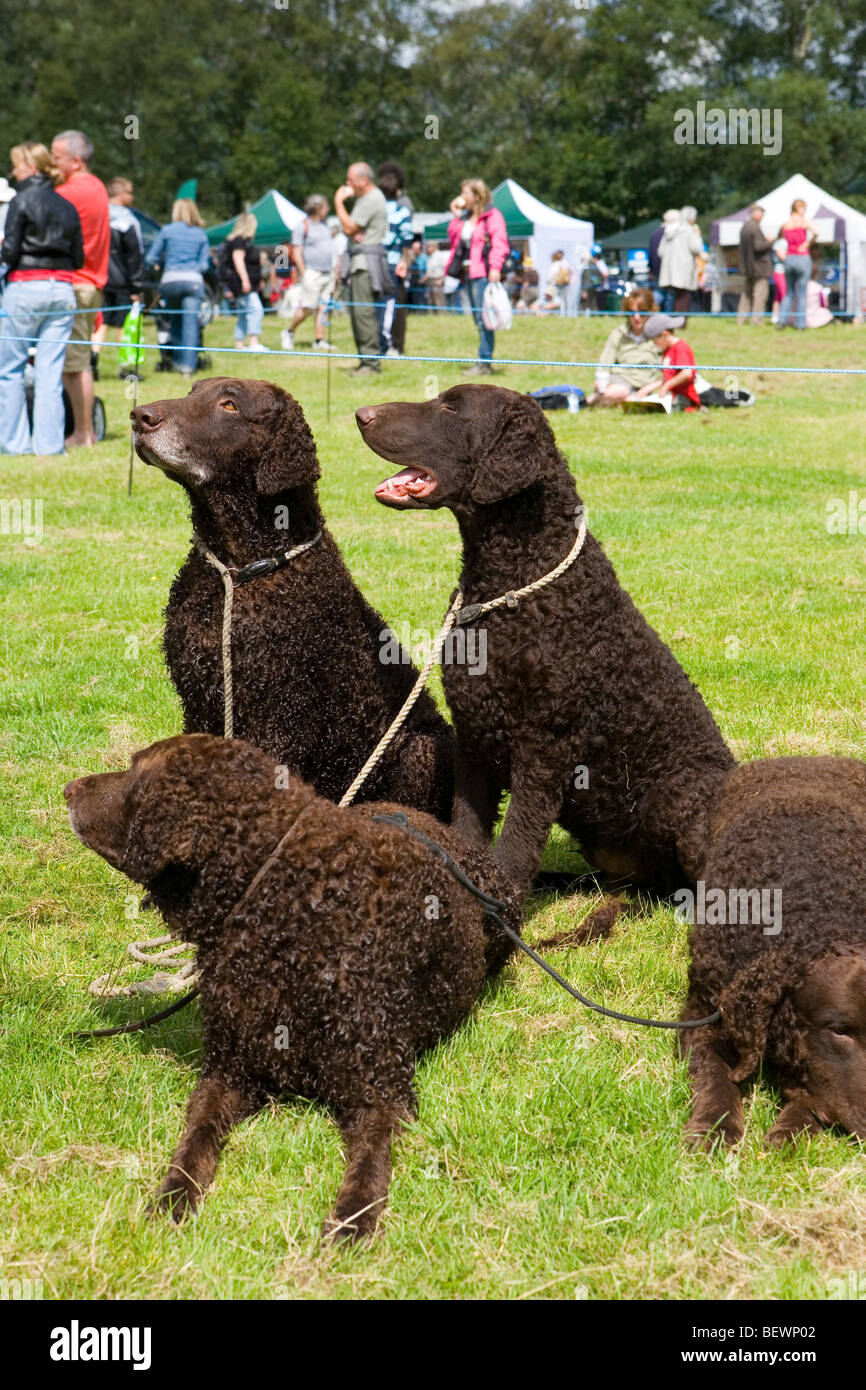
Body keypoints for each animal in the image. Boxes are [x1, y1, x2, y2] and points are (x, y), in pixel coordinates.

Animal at [67, 733, 517, 1245]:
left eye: (135, 774)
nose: (66, 789)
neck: (284, 905)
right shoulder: (227, 1070)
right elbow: (195, 1138)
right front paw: (174, 1194)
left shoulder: (382, 1092)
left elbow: (370, 1162)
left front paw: (354, 1217)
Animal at [130, 375, 453, 817]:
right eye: (192, 391)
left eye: (229, 405)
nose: (139, 416)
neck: (242, 567)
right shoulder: (196, 702)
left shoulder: (279, 721)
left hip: (422, 748)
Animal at [355, 386, 733, 895]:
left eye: (451, 407)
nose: (361, 414)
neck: (511, 580)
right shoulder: (474, 736)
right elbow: (467, 827)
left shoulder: (543, 746)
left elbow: (518, 839)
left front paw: (507, 901)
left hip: (679, 792)